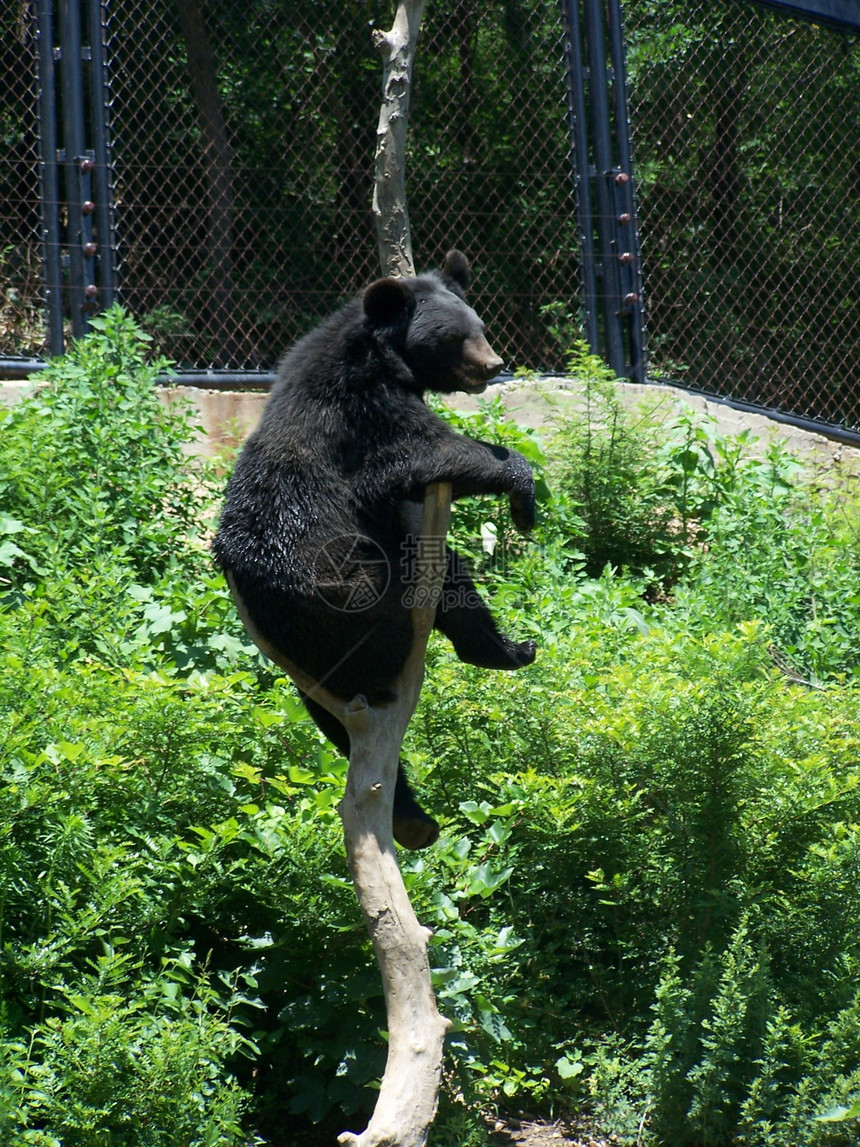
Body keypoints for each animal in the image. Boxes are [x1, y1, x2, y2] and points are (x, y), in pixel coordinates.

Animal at [214, 251, 538, 848]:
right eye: (457, 336)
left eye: (480, 325)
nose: (493, 364)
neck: (385, 357)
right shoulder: (364, 413)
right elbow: (429, 451)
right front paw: (523, 493)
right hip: (362, 595)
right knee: (444, 581)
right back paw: (504, 649)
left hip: (305, 661)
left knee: (337, 725)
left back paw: (413, 820)